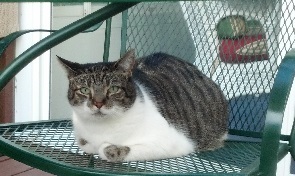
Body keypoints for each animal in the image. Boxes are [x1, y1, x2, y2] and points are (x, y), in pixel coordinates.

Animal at [57, 49, 229, 162]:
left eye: (113, 89)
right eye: (85, 90)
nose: (98, 103)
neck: (100, 129)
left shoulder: (174, 142)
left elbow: (107, 149)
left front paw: (107, 147)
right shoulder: (82, 138)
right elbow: (85, 144)